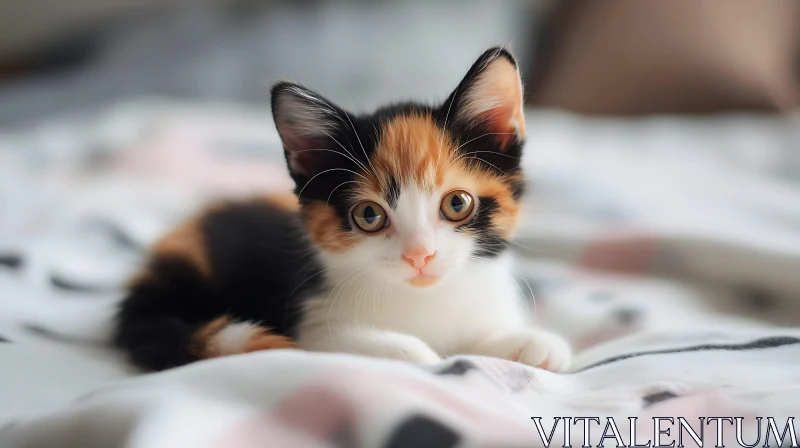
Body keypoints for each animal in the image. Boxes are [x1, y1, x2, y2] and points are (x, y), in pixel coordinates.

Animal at [115, 47, 572, 372]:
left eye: (457, 203)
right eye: (369, 216)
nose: (419, 256)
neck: (424, 299)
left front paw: (529, 341)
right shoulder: (313, 321)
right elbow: (343, 342)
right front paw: (416, 355)